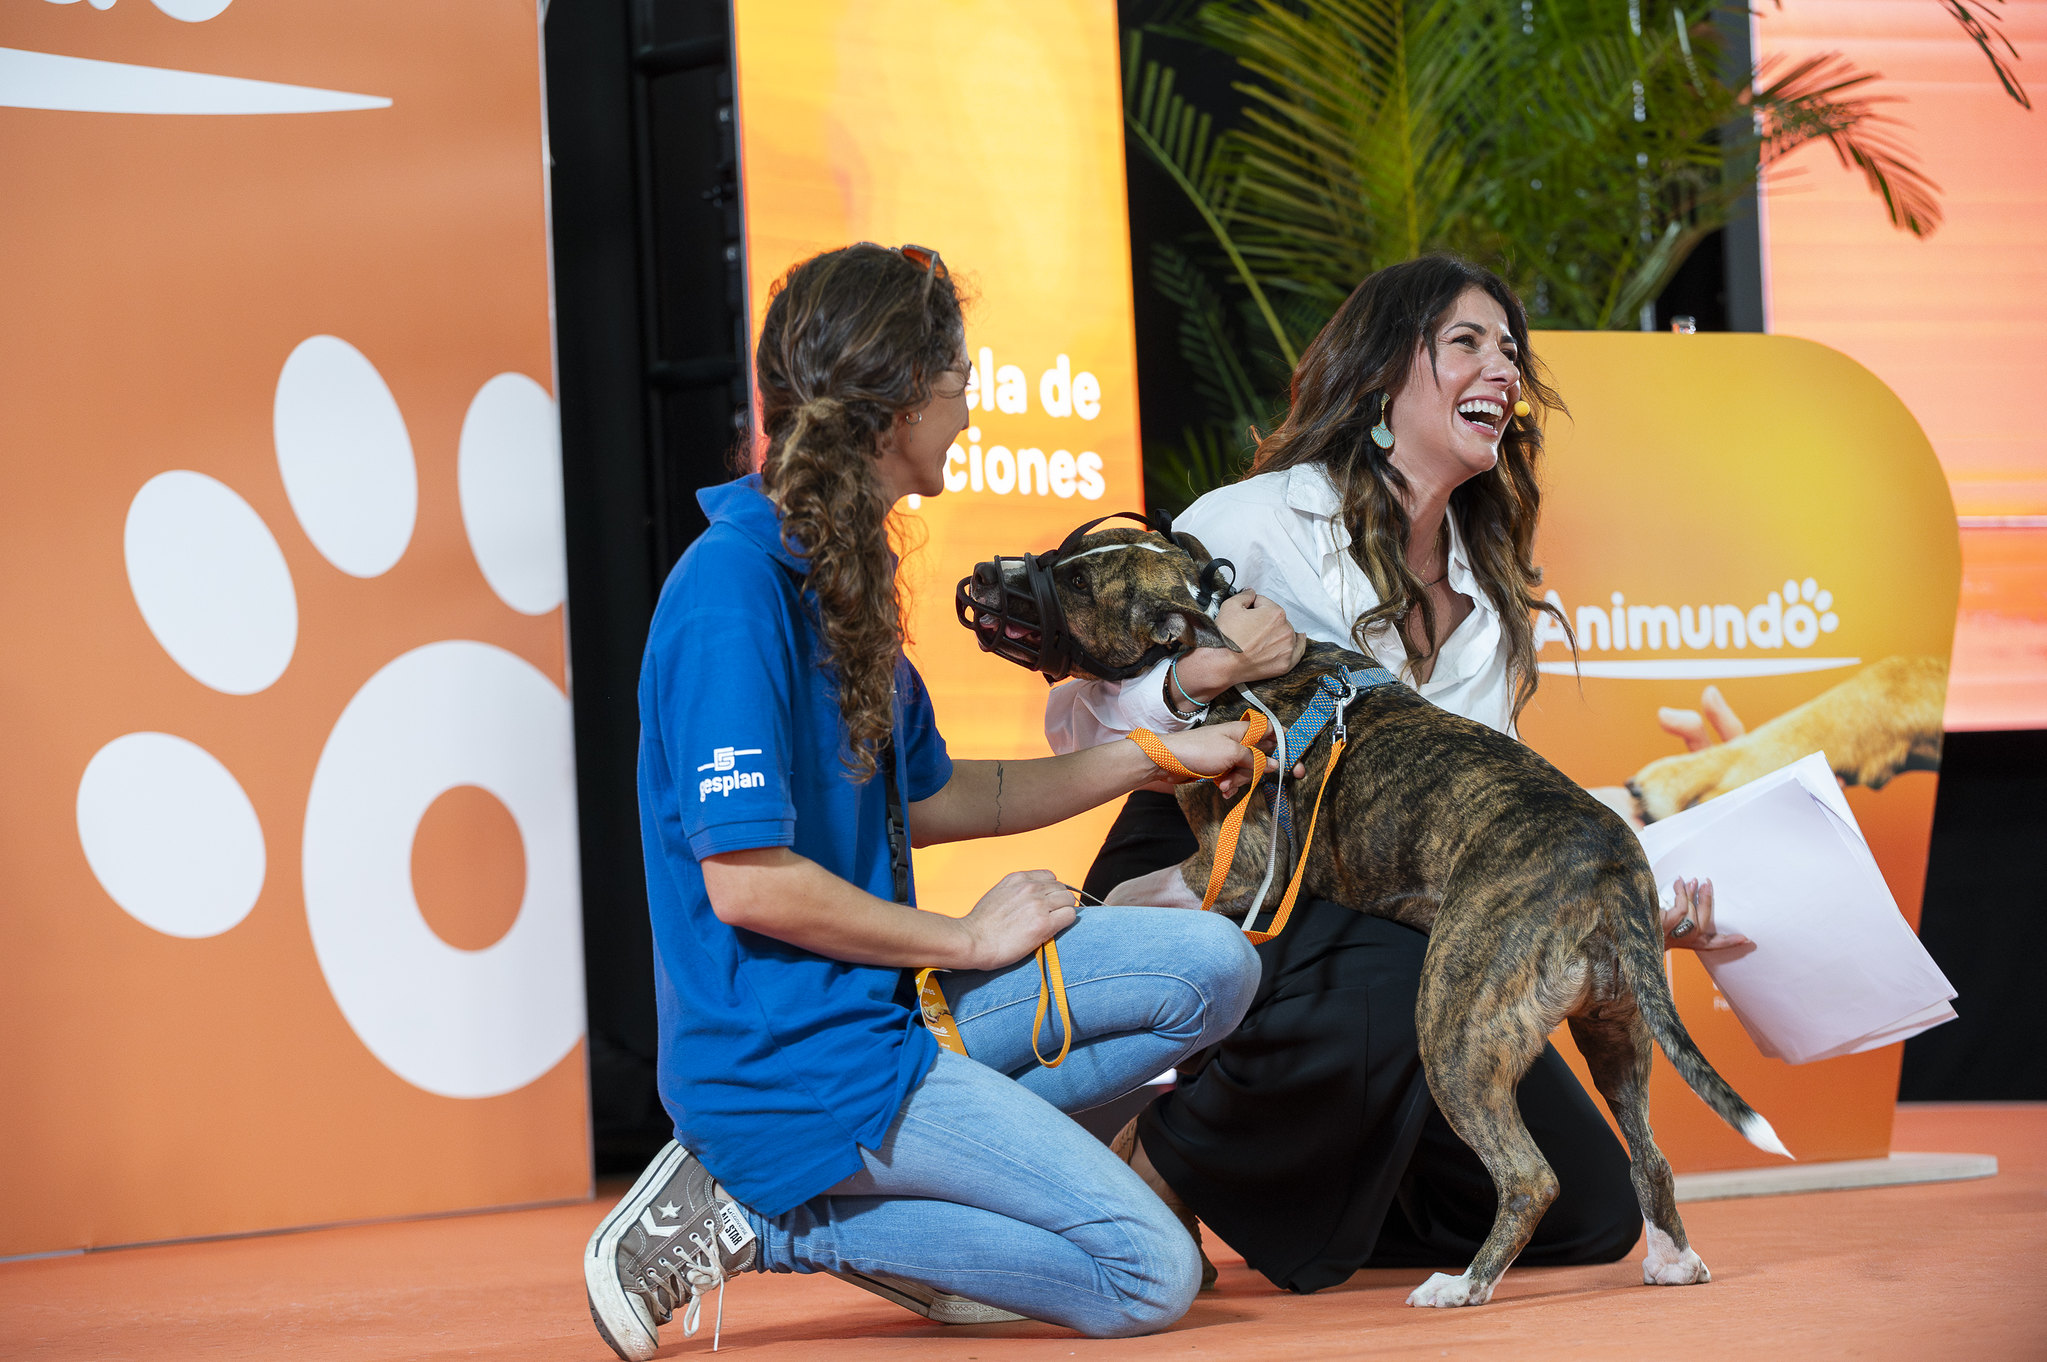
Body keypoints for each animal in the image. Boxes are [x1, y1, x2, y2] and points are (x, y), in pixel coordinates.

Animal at [966, 528, 1784, 1310]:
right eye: (1072, 556)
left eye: (1077, 584)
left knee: (1530, 1177)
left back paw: (1461, 1286)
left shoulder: (1238, 868)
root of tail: (1610, 863)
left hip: (1456, 1027)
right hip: (1615, 1032)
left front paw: (1073, 916)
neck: (1217, 649)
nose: (979, 576)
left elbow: (1131, 888)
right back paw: (1672, 1263)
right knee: (1649, 1157)